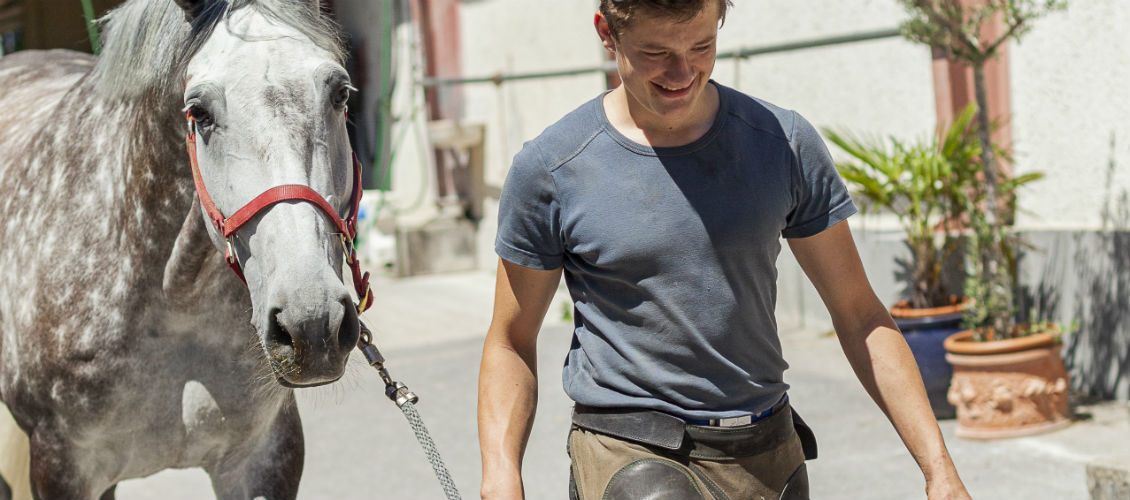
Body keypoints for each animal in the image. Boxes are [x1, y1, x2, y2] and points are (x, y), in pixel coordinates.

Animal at [0, 0, 361, 495]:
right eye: (199, 111)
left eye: (340, 93)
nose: (311, 322)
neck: (174, 303)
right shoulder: (61, 467)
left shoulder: (264, 456)